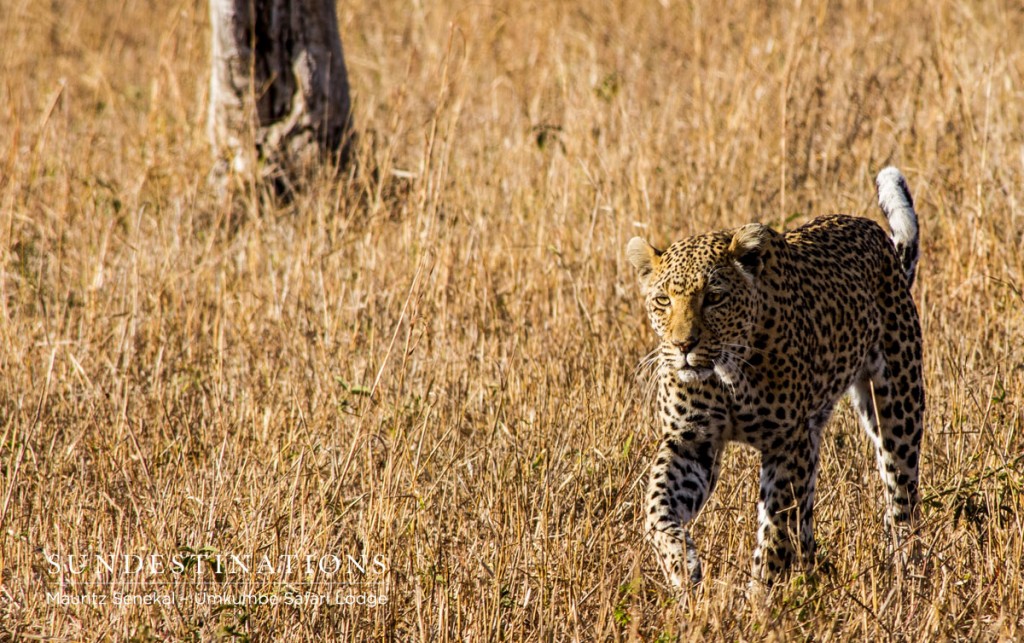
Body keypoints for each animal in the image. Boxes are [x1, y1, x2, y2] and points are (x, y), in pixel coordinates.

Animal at [626, 167, 925, 589]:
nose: (683, 344)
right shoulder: (690, 441)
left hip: (898, 407)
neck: (725, 375)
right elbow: (657, 507)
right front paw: (682, 567)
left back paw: (907, 573)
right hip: (814, 434)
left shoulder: (786, 444)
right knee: (808, 515)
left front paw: (760, 596)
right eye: (663, 300)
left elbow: (775, 531)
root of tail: (876, 236)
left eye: (714, 297)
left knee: (901, 497)